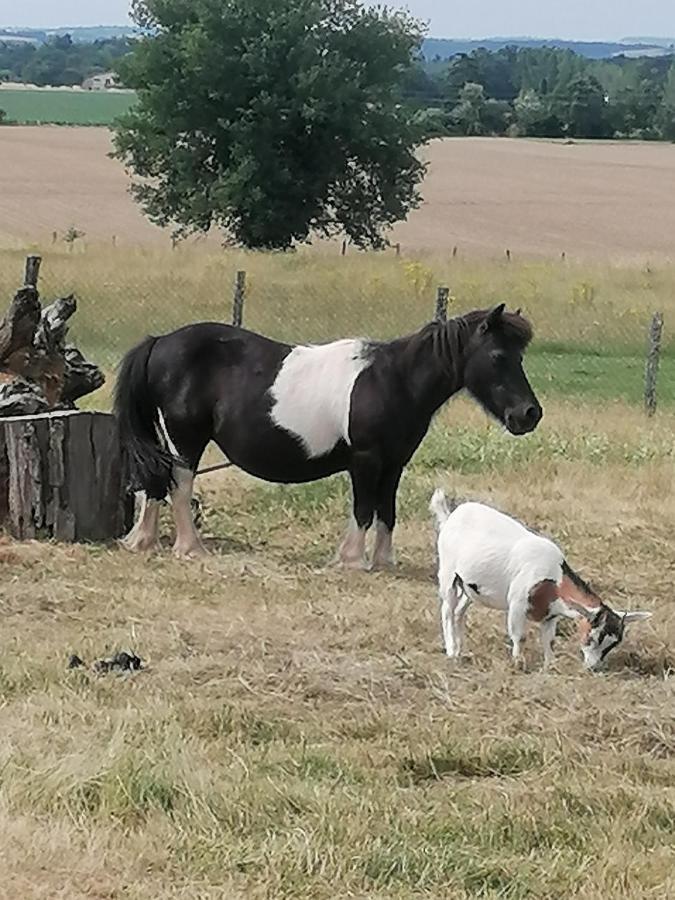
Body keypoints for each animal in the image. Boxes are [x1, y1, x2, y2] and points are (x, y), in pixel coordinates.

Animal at [113, 302, 540, 568]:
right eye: (499, 356)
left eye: (520, 357)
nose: (529, 414)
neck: (393, 380)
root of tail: (160, 342)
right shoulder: (366, 459)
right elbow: (363, 509)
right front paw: (351, 560)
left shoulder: (394, 464)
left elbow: (386, 511)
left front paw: (384, 561)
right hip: (186, 439)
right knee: (180, 486)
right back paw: (190, 548)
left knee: (156, 482)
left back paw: (143, 542)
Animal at [430, 492, 652, 668]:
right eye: (592, 637)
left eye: (613, 643)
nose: (593, 667)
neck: (554, 578)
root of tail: (451, 516)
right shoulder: (517, 604)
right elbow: (519, 636)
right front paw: (517, 663)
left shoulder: (550, 615)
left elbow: (549, 640)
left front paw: (549, 665)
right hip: (448, 573)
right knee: (447, 610)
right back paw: (451, 651)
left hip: (470, 587)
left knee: (459, 612)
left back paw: (461, 649)